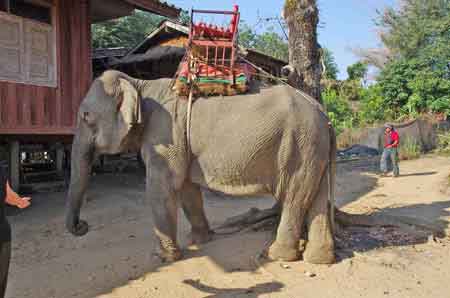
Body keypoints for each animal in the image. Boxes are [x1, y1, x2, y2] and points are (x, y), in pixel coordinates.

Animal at [65, 70, 336, 264]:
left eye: (85, 116)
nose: (82, 226)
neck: (139, 84)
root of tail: (325, 115)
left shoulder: (165, 134)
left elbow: (162, 186)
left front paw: (163, 258)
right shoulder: (178, 142)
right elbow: (186, 188)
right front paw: (199, 240)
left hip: (300, 146)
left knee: (294, 198)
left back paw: (278, 256)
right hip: (313, 149)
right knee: (315, 196)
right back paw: (319, 259)